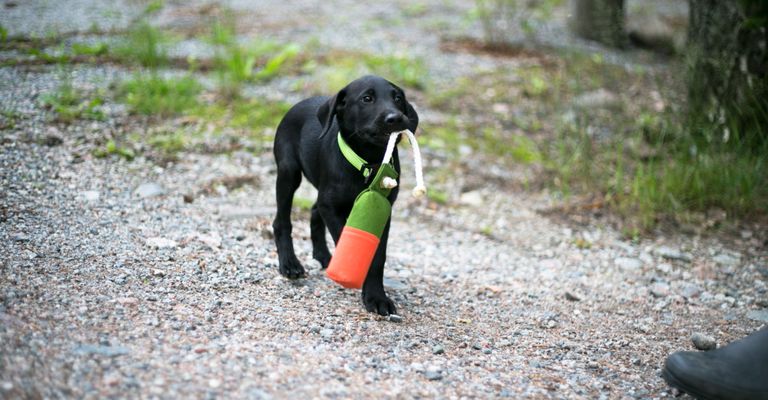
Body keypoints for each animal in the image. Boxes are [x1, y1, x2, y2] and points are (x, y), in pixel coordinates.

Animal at [272, 76, 416, 316]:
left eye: (397, 98)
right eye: (367, 99)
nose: (395, 118)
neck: (369, 163)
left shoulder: (383, 211)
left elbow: (378, 257)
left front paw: (377, 296)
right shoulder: (331, 208)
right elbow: (351, 245)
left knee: (314, 211)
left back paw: (323, 256)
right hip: (288, 172)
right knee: (281, 220)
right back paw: (289, 263)